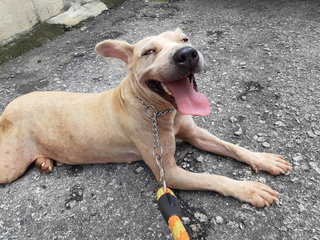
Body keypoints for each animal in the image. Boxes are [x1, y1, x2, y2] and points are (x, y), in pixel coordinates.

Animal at [0, 29, 292, 206]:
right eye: (148, 52)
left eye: (184, 39)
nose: (187, 54)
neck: (160, 111)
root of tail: (8, 108)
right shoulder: (170, 174)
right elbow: (214, 178)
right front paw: (249, 189)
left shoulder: (195, 133)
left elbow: (233, 147)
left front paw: (263, 159)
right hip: (9, 166)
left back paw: (45, 161)